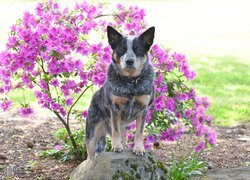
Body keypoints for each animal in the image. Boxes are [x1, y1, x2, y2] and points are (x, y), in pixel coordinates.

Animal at [86, 25, 156, 159]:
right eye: (122, 49)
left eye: (138, 49)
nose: (129, 61)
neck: (131, 83)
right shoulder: (115, 109)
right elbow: (116, 131)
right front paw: (116, 146)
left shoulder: (143, 109)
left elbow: (139, 132)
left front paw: (139, 148)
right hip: (92, 132)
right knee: (90, 154)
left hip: (124, 126)